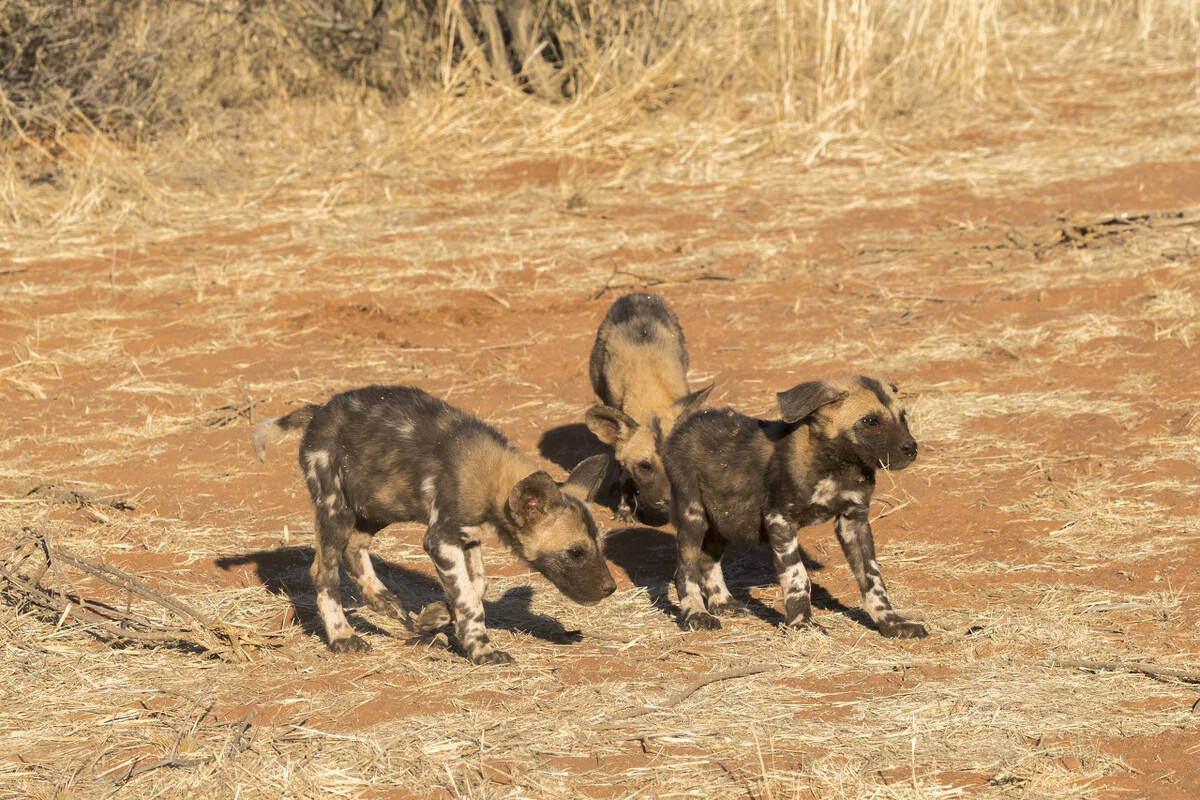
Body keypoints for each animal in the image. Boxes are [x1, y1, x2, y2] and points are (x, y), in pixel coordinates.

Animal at [250, 383, 609, 666]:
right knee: (323, 573)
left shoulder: (467, 538)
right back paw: (343, 637)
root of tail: (319, 410)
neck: (488, 476)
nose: (611, 589)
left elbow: (477, 586)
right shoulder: (441, 540)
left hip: (378, 506)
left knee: (354, 548)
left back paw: (383, 600)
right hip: (336, 509)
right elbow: (469, 601)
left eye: (599, 547)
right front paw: (482, 651)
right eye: (575, 552)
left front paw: (434, 616)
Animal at [662, 376, 921, 638]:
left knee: (708, 560)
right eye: (870, 421)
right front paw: (803, 623)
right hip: (693, 516)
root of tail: (688, 421)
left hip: (726, 520)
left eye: (903, 417)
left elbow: (873, 578)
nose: (911, 448)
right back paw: (696, 614)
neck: (835, 465)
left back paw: (722, 602)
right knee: (684, 571)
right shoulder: (780, 520)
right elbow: (798, 576)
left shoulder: (854, 522)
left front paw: (891, 622)